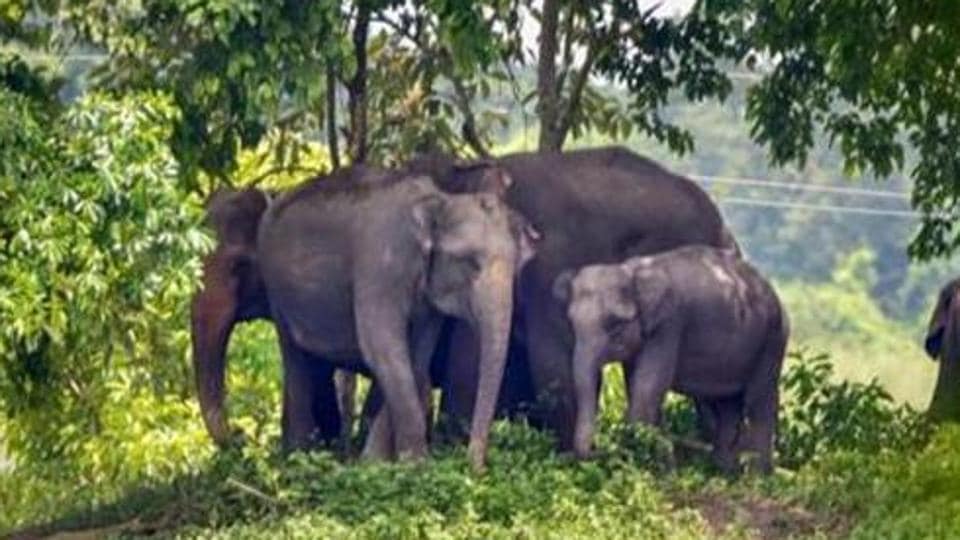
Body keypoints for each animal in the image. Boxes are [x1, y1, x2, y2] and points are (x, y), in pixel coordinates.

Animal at [256, 170, 540, 468]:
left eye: (516, 267)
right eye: (469, 262)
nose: (475, 467)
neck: (440, 200)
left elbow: (416, 355)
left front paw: (376, 460)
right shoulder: (380, 263)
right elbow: (383, 348)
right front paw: (415, 465)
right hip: (275, 290)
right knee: (294, 360)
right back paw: (298, 458)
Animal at [552, 245, 792, 472]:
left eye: (615, 325)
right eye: (572, 325)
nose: (599, 450)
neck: (630, 271)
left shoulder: (668, 326)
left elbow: (647, 392)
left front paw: (657, 470)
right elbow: (637, 388)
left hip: (772, 339)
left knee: (758, 402)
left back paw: (758, 477)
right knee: (728, 406)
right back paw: (725, 472)